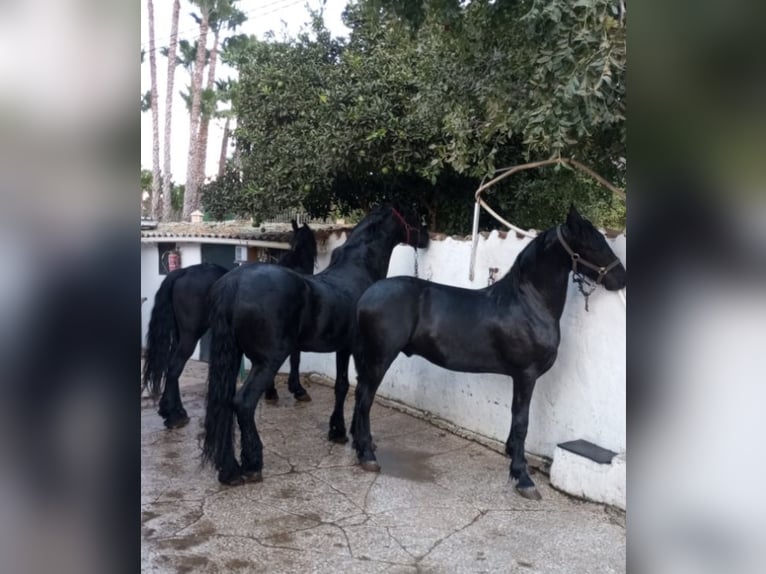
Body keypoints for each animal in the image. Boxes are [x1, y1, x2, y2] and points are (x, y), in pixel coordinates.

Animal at [142, 220, 317, 429]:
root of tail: (182, 271)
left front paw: (272, 391)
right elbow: (295, 360)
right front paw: (296, 390)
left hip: (180, 335)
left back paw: (174, 411)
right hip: (190, 335)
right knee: (175, 367)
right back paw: (174, 416)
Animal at [202, 205, 429, 485]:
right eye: (412, 215)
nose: (426, 237)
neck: (358, 271)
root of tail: (233, 283)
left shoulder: (343, 348)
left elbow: (344, 387)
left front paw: (342, 431)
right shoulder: (356, 349)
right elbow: (351, 388)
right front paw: (347, 434)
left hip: (233, 356)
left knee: (224, 404)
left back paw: (229, 470)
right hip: (267, 362)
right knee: (243, 404)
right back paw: (253, 463)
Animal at [350, 205, 626, 500]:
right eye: (590, 244)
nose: (620, 278)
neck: (528, 303)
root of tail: (367, 295)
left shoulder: (520, 377)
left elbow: (516, 419)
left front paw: (512, 457)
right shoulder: (526, 375)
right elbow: (522, 421)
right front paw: (523, 477)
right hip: (380, 358)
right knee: (365, 399)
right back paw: (367, 455)